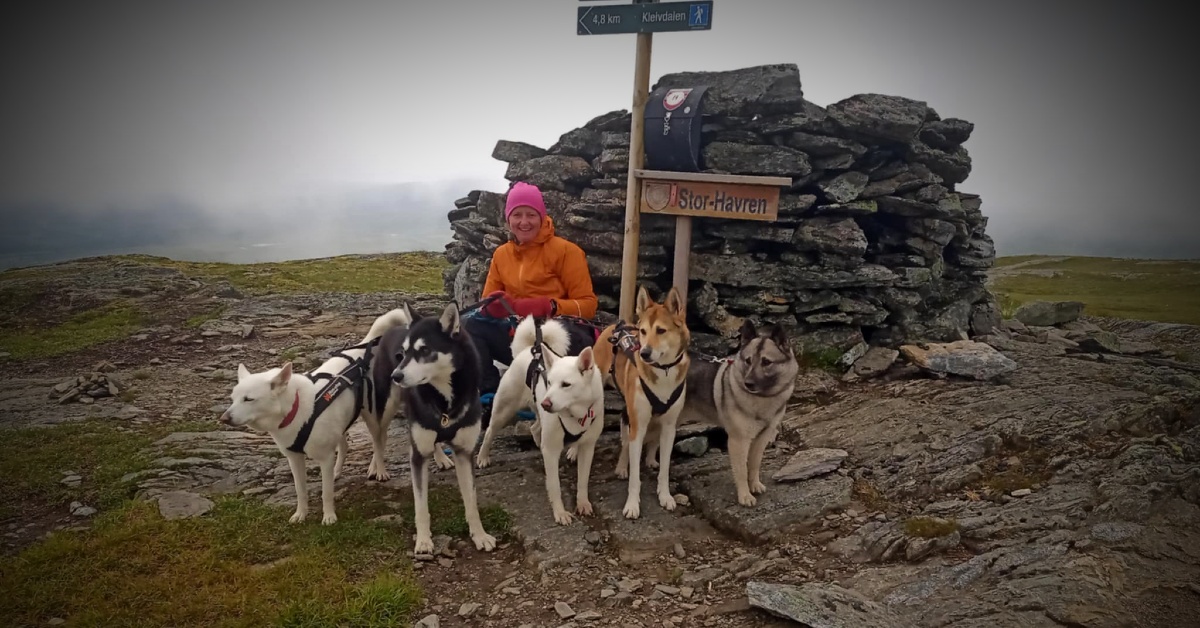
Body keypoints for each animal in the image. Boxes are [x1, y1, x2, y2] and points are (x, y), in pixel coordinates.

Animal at [222, 307, 412, 525]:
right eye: (233, 398)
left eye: (248, 399)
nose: (224, 418)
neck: (295, 410)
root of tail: (363, 350)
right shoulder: (294, 459)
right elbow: (300, 490)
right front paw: (300, 514)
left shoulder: (325, 458)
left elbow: (326, 492)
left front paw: (329, 516)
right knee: (345, 445)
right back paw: (338, 471)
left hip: (373, 415)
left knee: (379, 441)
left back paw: (379, 470)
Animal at [475, 319, 604, 525]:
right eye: (549, 382)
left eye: (566, 385)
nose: (546, 403)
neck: (575, 413)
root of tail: (530, 351)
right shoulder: (551, 449)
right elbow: (555, 486)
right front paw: (560, 512)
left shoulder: (587, 447)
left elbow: (583, 480)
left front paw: (583, 503)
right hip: (504, 411)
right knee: (489, 432)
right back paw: (483, 457)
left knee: (535, 428)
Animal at [592, 284, 691, 521]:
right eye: (644, 332)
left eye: (661, 331)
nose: (644, 353)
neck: (663, 371)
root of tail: (616, 325)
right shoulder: (638, 424)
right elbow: (635, 475)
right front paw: (632, 505)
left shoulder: (669, 427)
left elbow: (665, 469)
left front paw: (665, 496)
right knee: (624, 443)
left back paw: (650, 460)